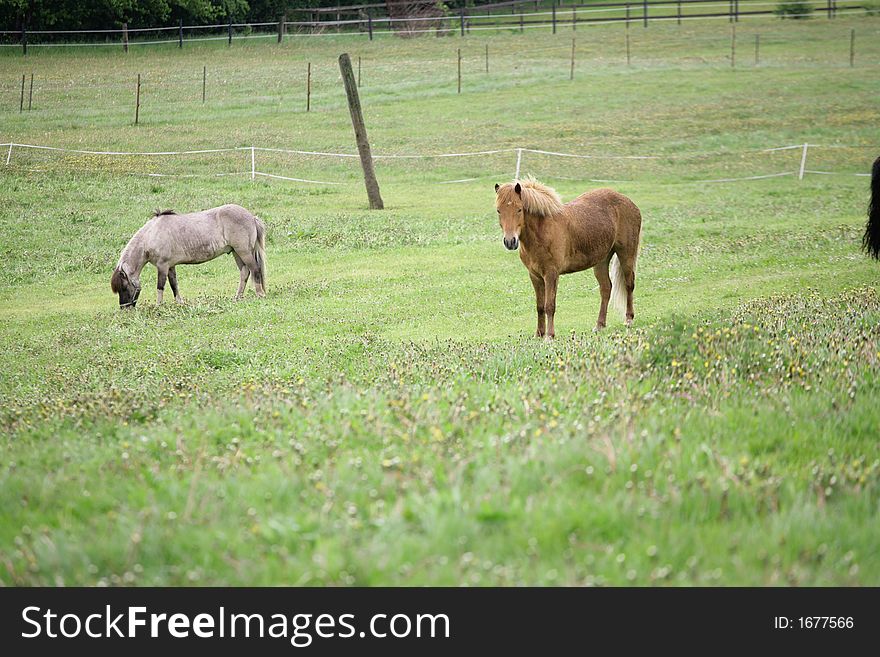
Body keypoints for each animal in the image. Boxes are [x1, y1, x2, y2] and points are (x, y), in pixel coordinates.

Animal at [111, 202, 266, 308]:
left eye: (123, 287)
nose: (124, 309)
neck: (151, 234)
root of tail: (252, 217)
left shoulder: (162, 266)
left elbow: (160, 286)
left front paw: (158, 306)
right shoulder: (170, 266)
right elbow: (174, 284)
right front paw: (179, 302)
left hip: (243, 252)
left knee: (255, 270)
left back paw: (260, 294)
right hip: (236, 252)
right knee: (245, 272)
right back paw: (237, 297)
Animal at [492, 177, 644, 336]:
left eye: (519, 209)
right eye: (499, 210)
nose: (510, 241)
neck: (542, 232)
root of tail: (629, 202)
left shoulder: (551, 274)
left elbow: (549, 306)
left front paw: (549, 335)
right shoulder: (535, 276)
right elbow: (540, 306)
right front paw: (539, 334)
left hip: (626, 254)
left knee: (629, 284)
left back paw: (628, 319)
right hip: (601, 260)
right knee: (606, 288)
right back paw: (599, 325)